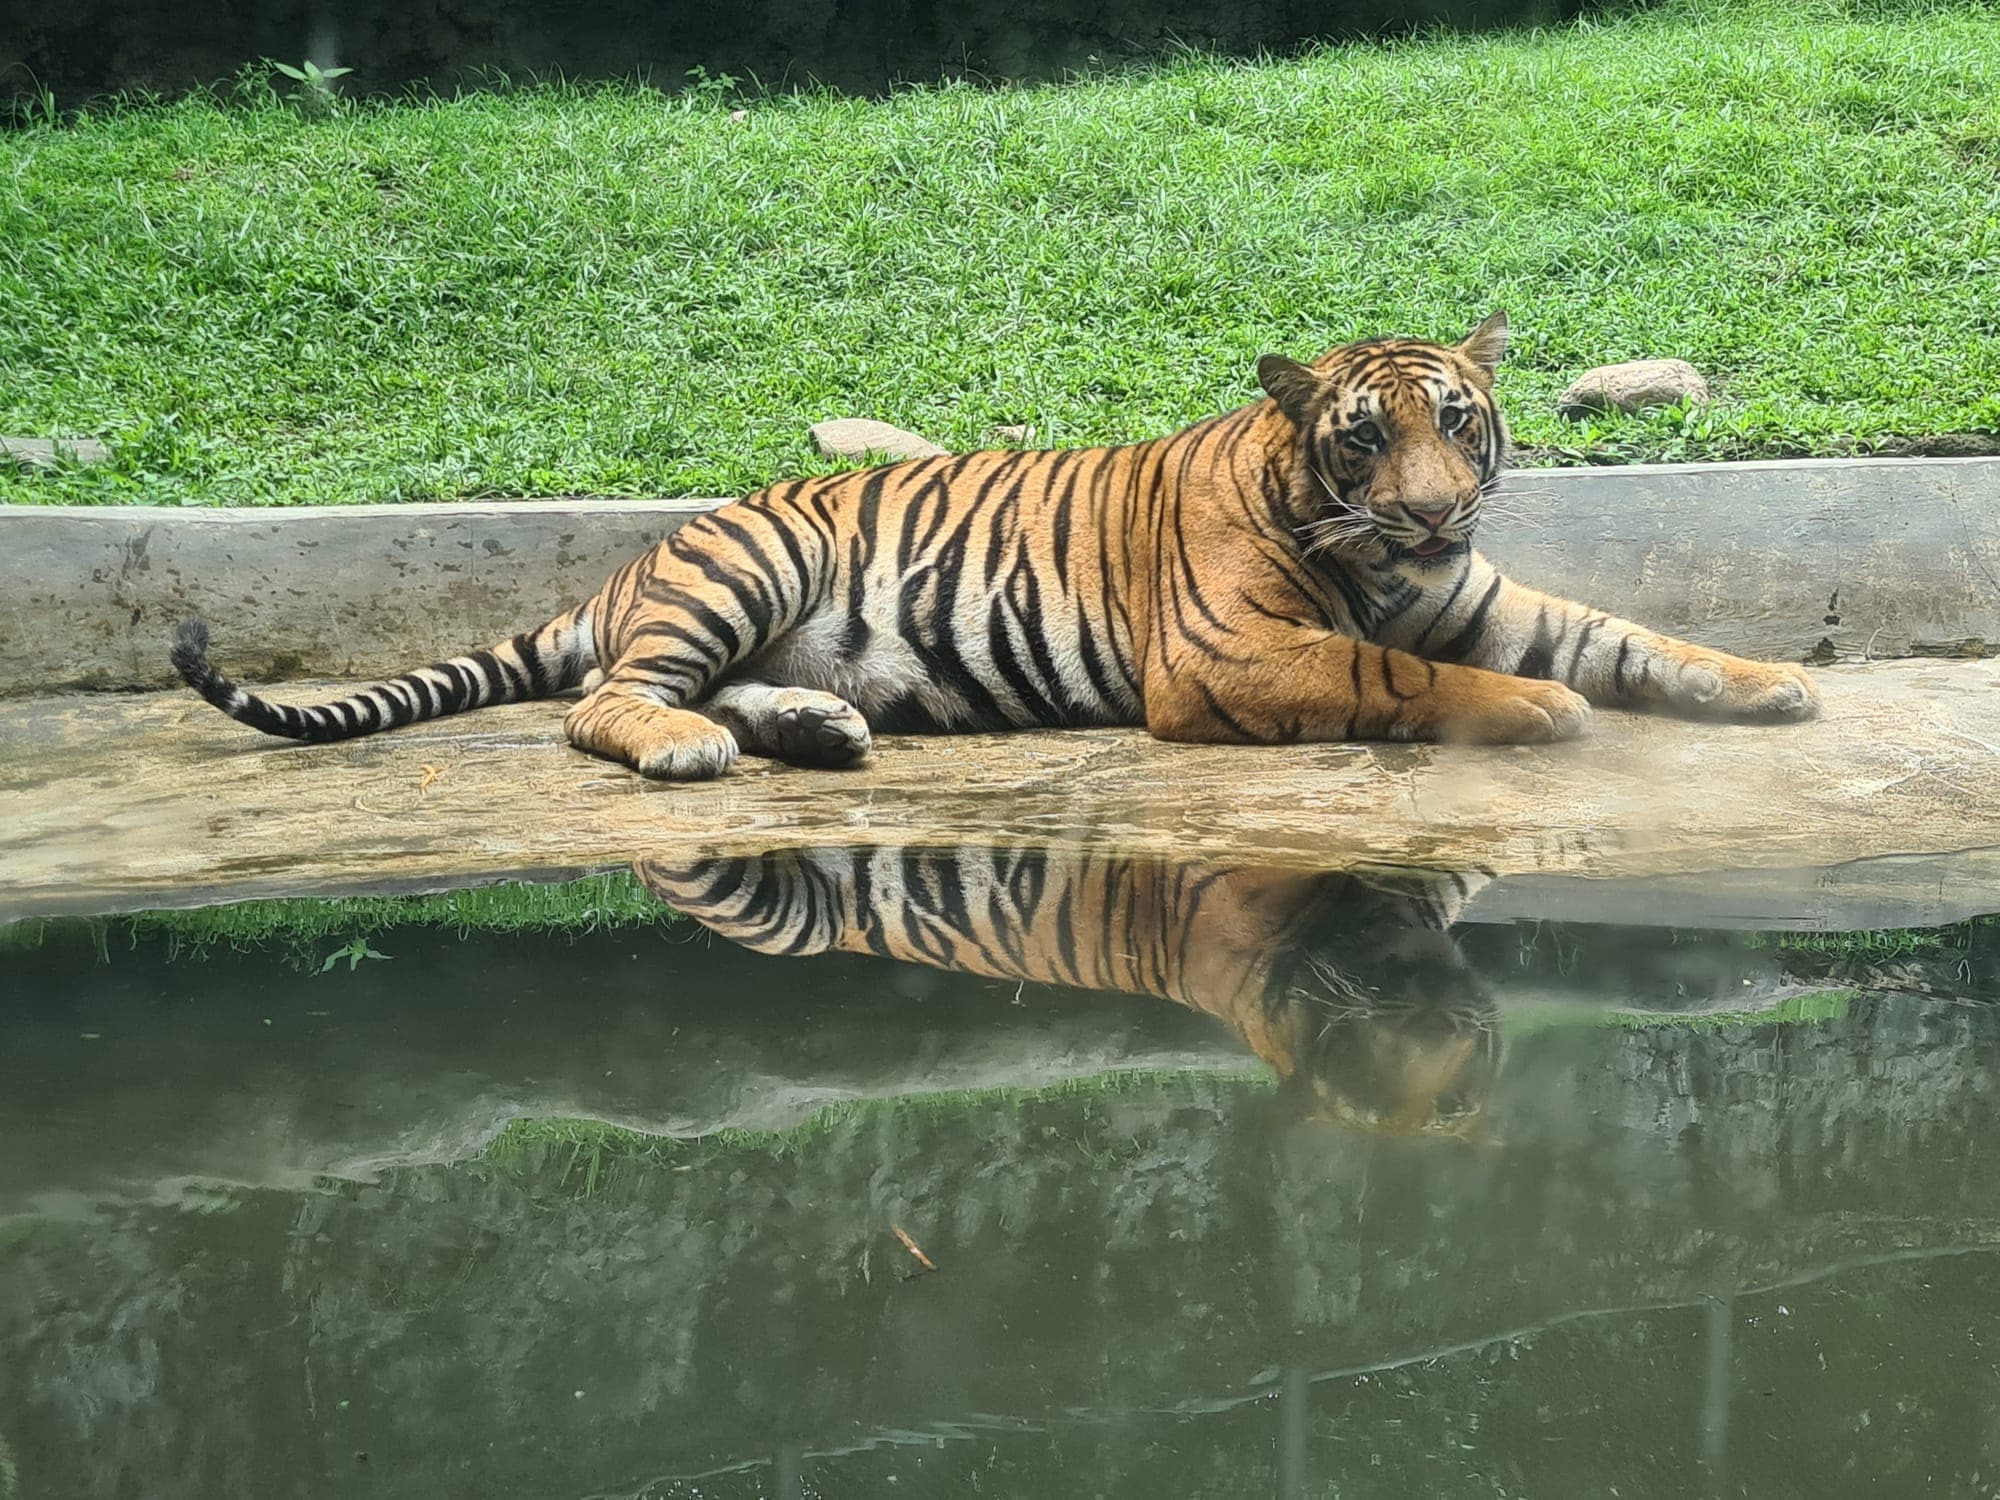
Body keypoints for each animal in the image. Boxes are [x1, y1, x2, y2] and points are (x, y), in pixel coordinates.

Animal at [170, 312, 1820, 778]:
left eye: (1458, 424)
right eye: (1364, 442)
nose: (1429, 510)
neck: (1385, 556)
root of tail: (627, 565)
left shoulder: (1475, 597)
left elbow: (1634, 638)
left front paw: (1774, 687)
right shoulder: (1228, 658)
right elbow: (1408, 678)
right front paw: (1538, 712)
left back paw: (816, 728)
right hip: (745, 571)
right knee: (608, 701)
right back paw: (696, 749)